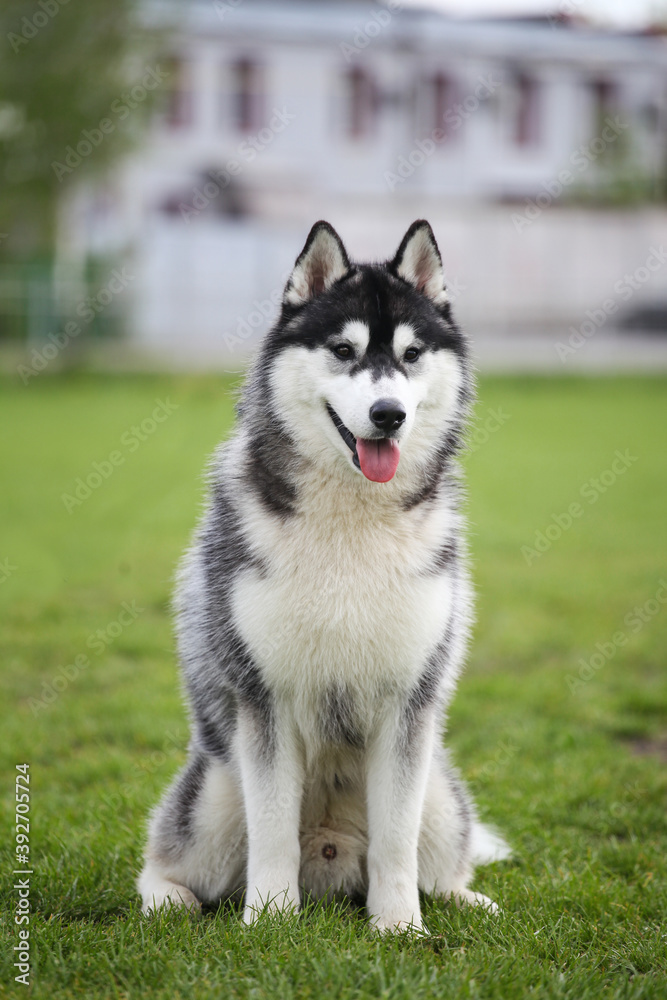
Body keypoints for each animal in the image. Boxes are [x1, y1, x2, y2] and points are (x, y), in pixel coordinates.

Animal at [138, 223, 508, 932]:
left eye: (412, 354)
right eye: (343, 350)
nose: (389, 413)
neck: (352, 520)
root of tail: (330, 867)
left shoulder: (408, 704)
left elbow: (396, 841)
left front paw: (400, 926)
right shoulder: (265, 699)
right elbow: (272, 830)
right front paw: (270, 921)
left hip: (440, 791)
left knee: (439, 856)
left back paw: (462, 897)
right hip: (215, 790)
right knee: (167, 858)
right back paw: (170, 898)